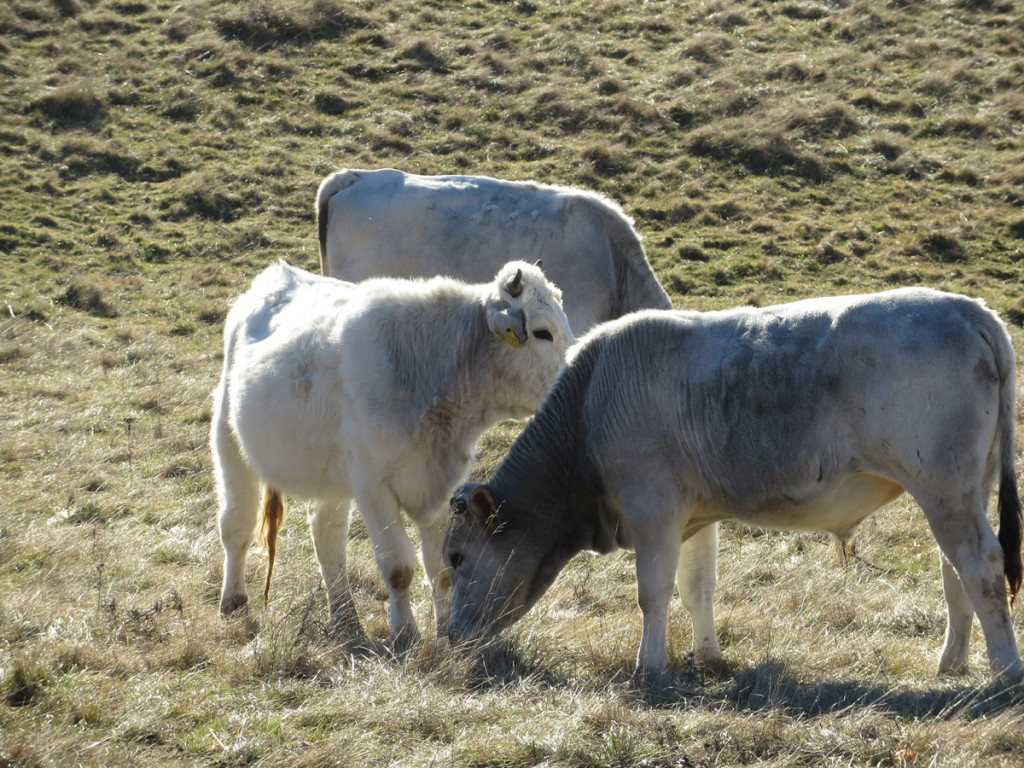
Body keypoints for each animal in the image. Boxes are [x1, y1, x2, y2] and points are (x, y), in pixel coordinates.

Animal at [212, 260, 577, 651]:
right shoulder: (374, 487)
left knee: (327, 539)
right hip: (229, 442)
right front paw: (406, 635)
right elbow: (398, 568)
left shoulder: (442, 485)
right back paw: (234, 602)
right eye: (542, 332)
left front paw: (443, 631)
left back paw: (346, 621)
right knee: (236, 526)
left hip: (333, 478)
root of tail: (279, 273)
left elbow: (442, 568)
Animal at [446, 290, 1024, 684]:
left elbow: (652, 592)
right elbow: (696, 586)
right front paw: (707, 655)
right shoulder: (694, 516)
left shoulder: (652, 510)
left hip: (944, 490)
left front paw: (648, 666)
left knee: (981, 566)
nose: (448, 636)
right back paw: (951, 663)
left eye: (454, 557)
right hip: (962, 491)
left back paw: (1005, 670)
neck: (590, 403)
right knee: (955, 572)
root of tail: (971, 310)